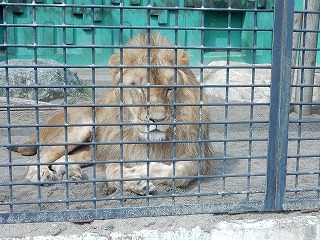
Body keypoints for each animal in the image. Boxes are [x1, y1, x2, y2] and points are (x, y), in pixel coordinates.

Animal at [15, 33, 215, 195]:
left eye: (169, 89)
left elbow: (180, 173)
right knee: (41, 156)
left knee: (64, 158)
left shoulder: (197, 155)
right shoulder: (118, 152)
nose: (156, 119)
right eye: (140, 88)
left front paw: (144, 171)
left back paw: (71, 172)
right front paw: (138, 180)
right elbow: (112, 173)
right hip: (76, 130)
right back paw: (42, 173)